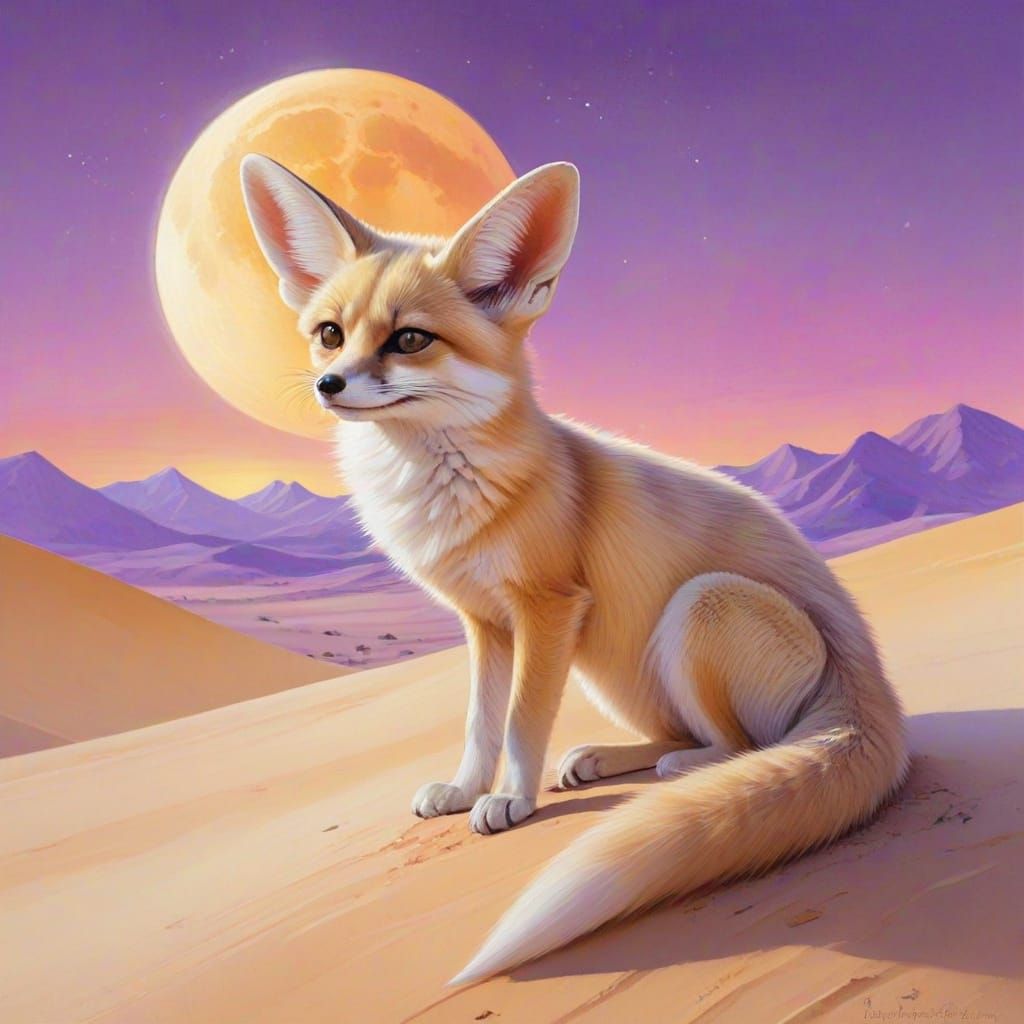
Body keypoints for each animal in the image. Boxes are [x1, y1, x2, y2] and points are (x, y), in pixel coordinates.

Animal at [240, 154, 909, 986]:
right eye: (330, 335)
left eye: (410, 339)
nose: (329, 386)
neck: (450, 492)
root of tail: (870, 682)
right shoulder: (485, 622)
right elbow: (481, 722)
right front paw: (466, 789)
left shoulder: (548, 607)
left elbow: (522, 722)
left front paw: (511, 803)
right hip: (615, 671)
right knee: (681, 730)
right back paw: (604, 760)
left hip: (700, 606)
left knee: (742, 747)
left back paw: (683, 772)